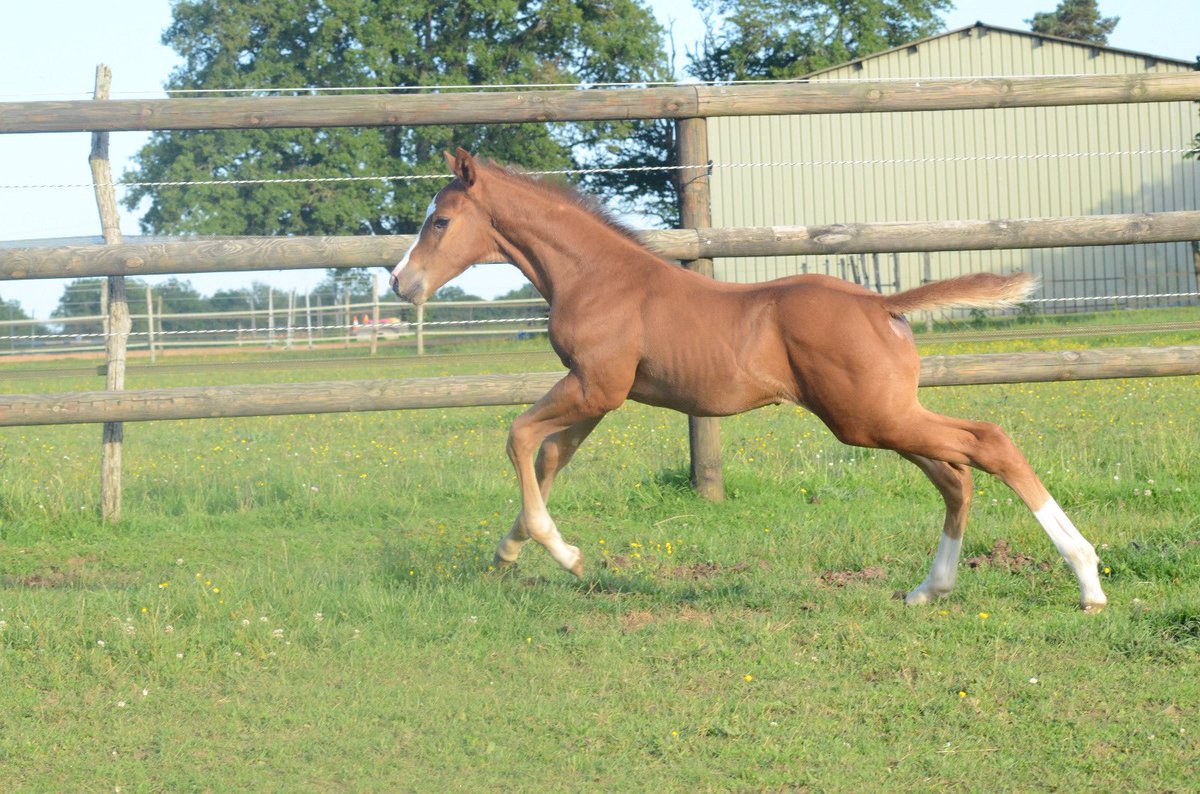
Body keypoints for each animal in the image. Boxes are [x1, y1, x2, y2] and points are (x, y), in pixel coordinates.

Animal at [389, 148, 1107, 612]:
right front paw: (510, 553)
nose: (401, 282)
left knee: (988, 442)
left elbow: (517, 437)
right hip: (882, 418)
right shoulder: (598, 397)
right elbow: (548, 457)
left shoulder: (596, 387)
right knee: (956, 476)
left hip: (868, 419)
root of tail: (880, 306)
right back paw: (929, 588)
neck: (598, 276)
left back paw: (1088, 579)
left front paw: (561, 554)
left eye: (440, 220)